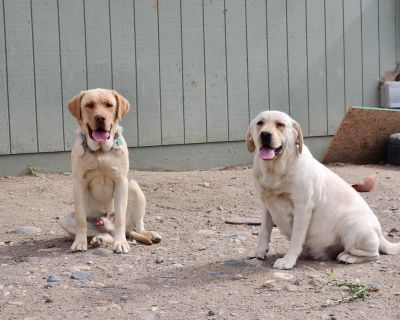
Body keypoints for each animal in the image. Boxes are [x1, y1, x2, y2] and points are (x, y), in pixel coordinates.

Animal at [60, 87, 160, 252]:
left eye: (109, 105)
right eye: (89, 105)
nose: (100, 118)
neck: (100, 150)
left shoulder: (121, 181)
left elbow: (120, 217)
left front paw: (120, 243)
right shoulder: (79, 183)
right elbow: (81, 220)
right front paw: (79, 242)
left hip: (134, 188)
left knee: (137, 226)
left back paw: (148, 234)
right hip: (66, 220)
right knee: (104, 232)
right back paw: (100, 239)